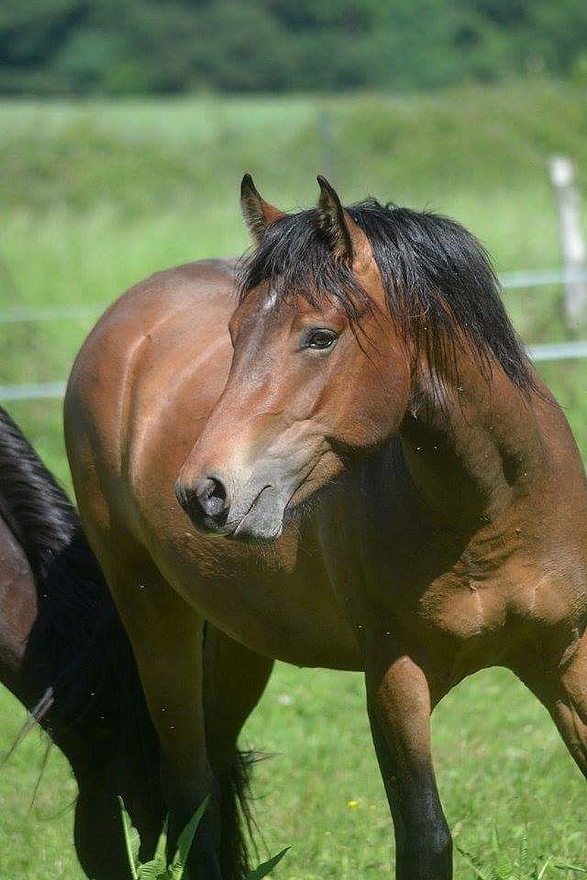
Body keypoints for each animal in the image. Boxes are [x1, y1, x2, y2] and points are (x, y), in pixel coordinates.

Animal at [64, 179, 587, 880]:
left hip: (239, 640)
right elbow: (425, 838)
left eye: (319, 337)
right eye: (234, 334)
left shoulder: (565, 656)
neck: (493, 510)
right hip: (155, 621)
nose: (204, 493)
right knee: (194, 793)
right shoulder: (395, 678)